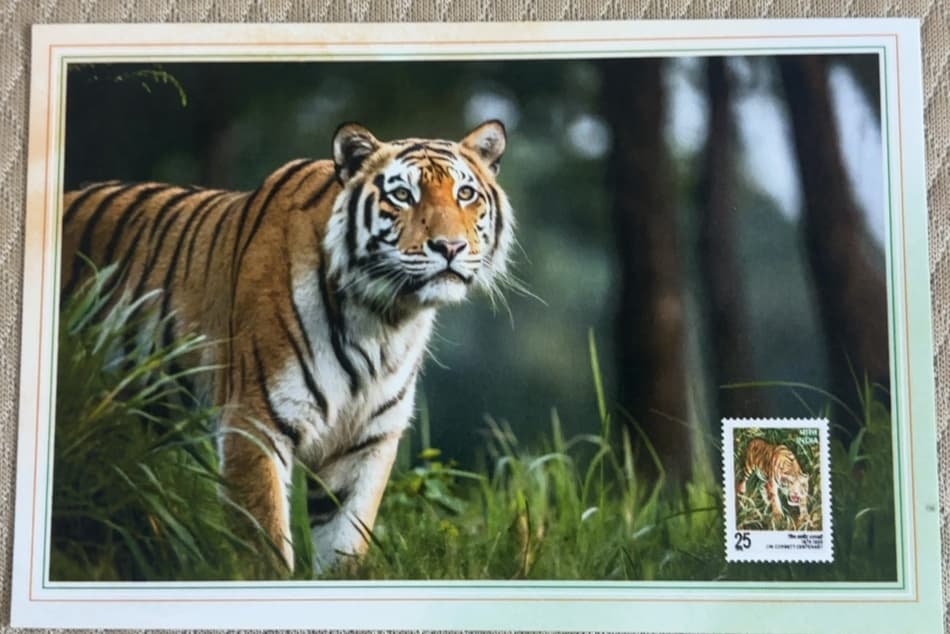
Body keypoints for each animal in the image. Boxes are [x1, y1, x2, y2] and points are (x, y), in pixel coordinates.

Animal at [59, 120, 514, 575]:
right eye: (402, 195)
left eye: (465, 194)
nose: (450, 247)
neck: (383, 321)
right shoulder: (255, 422)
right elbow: (264, 546)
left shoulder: (365, 442)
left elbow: (345, 546)